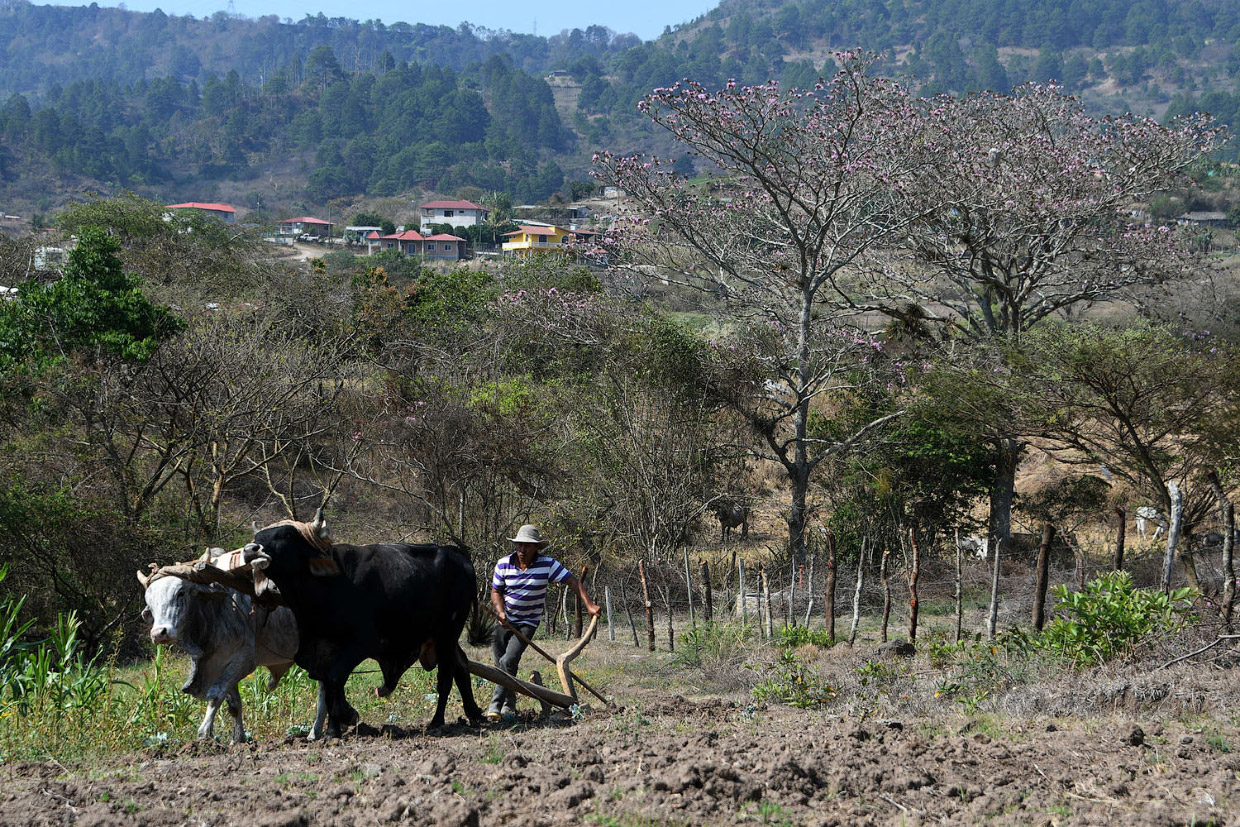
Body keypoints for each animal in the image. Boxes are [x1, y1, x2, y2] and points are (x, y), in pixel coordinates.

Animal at [137, 562, 322, 743]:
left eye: (180, 593)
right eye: (150, 603)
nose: (159, 634)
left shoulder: (244, 661)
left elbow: (215, 694)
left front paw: (204, 734)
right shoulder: (222, 664)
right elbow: (233, 704)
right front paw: (238, 740)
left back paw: (316, 732)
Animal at [240, 518, 478, 738]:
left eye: (287, 534)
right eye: (258, 536)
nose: (251, 549)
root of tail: (456, 553)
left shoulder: (361, 644)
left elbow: (335, 679)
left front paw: (343, 719)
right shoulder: (321, 648)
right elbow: (330, 687)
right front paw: (334, 728)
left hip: (447, 635)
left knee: (445, 677)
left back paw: (438, 721)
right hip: (442, 638)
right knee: (462, 665)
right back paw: (475, 714)